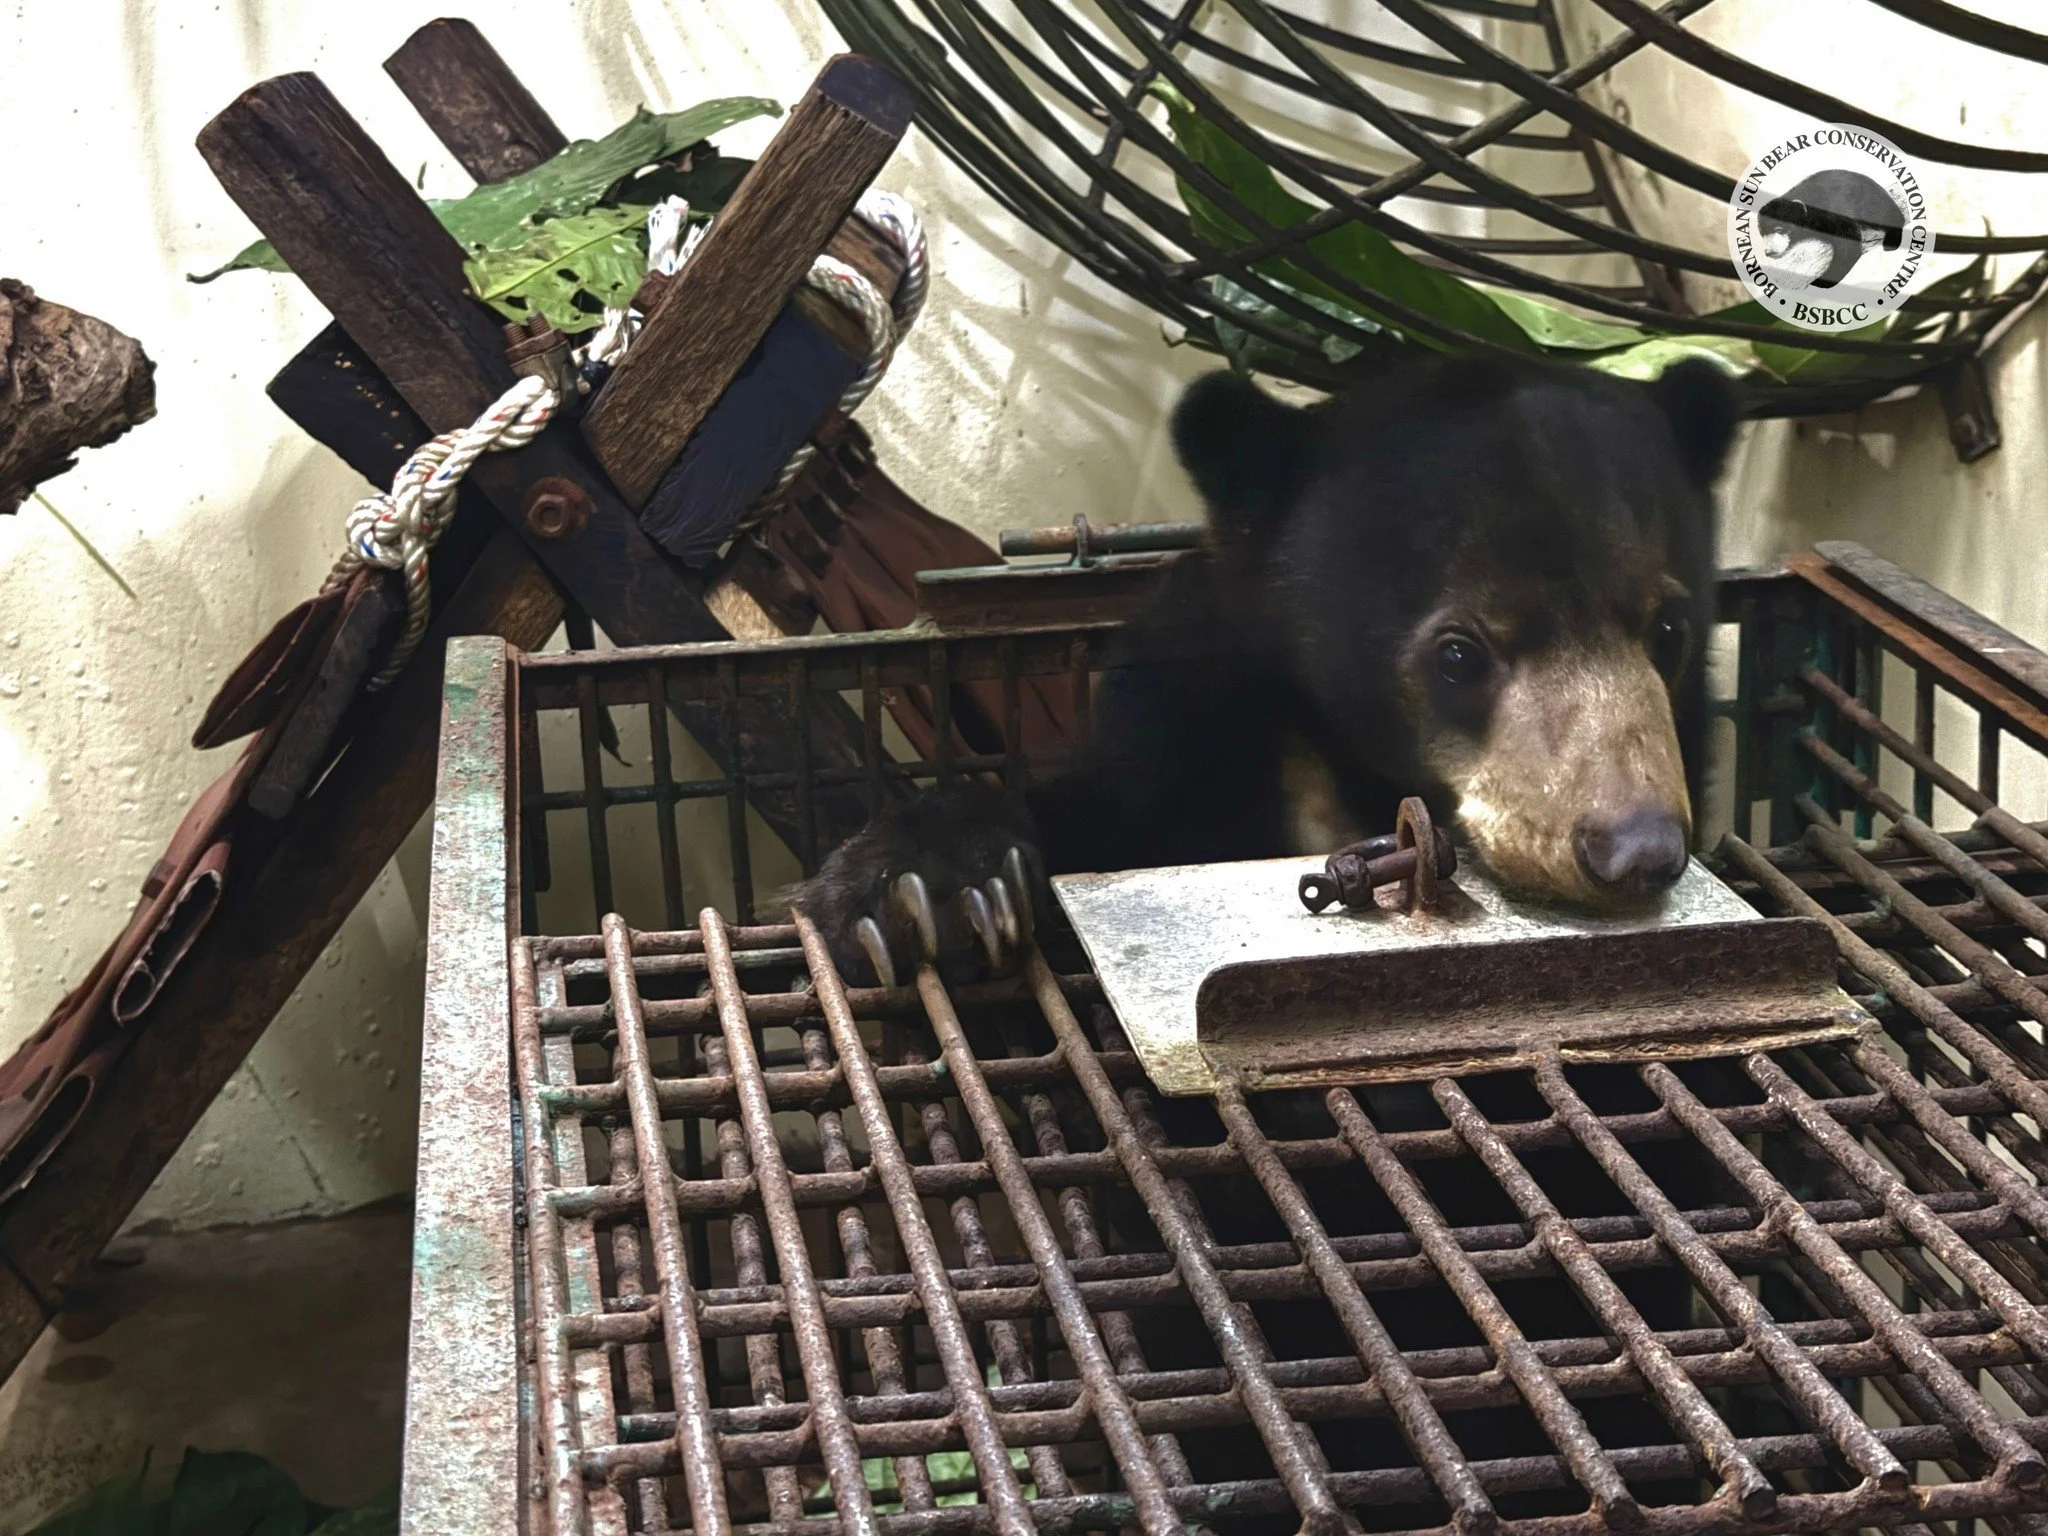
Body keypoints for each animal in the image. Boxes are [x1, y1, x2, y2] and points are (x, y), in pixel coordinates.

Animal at [798, 351, 1741, 985]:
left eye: (1668, 627)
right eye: (1459, 652)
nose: (1635, 851)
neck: (1348, 768)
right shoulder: (1184, 722)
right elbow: (1099, 822)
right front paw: (926, 893)